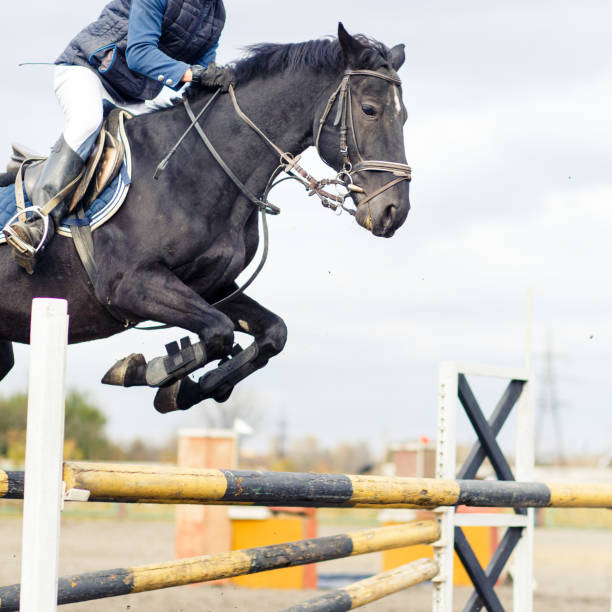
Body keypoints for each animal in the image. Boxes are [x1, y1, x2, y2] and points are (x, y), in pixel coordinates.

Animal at [0, 26, 414, 414]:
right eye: (370, 110)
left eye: (405, 116)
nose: (394, 211)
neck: (197, 167)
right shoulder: (129, 285)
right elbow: (219, 331)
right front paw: (149, 370)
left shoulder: (211, 286)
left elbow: (271, 333)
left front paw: (187, 387)